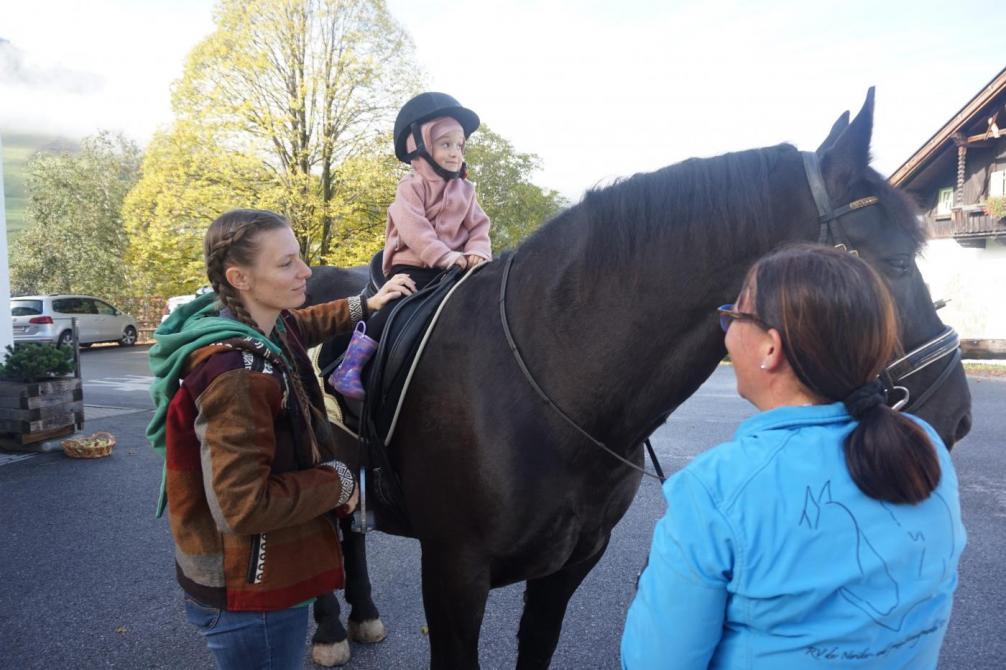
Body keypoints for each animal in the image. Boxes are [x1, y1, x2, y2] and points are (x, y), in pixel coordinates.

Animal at [303, 90, 965, 667]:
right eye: (898, 261)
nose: (957, 416)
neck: (551, 379)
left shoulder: (567, 569)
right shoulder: (453, 574)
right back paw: (331, 629)